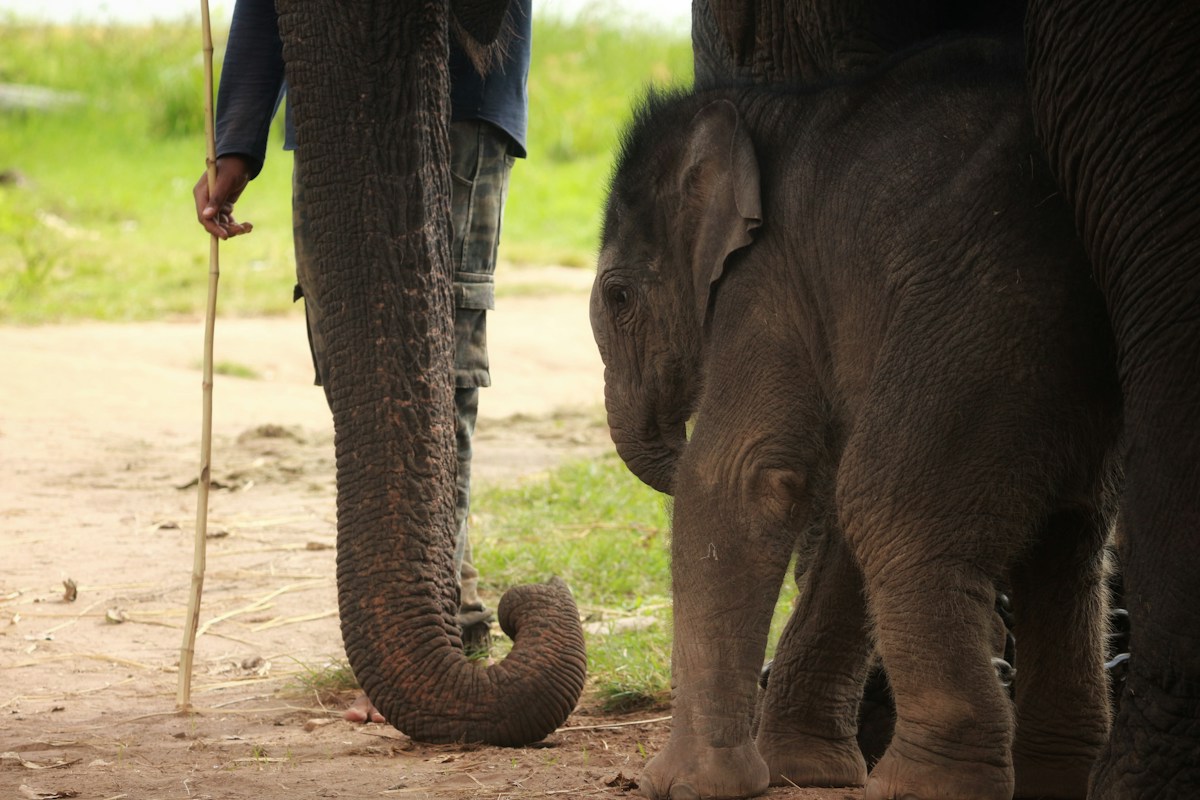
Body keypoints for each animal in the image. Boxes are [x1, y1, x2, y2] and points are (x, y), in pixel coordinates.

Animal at [591, 36, 1122, 800]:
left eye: (620, 297)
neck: (756, 113)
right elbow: (821, 486)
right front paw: (804, 773)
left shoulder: (767, 277)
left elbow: (744, 476)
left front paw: (680, 785)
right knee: (1070, 536)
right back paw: (1057, 777)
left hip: (989, 311)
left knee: (894, 505)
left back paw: (918, 786)